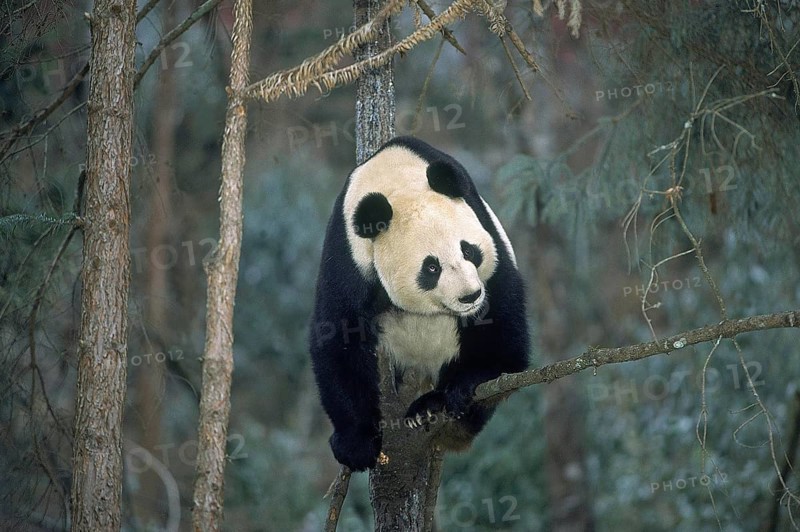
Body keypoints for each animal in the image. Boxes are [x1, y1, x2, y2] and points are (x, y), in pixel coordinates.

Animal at [309, 136, 529, 471]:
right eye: (432, 267)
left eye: (469, 250)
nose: (470, 296)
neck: (396, 182)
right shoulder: (348, 252)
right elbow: (338, 332)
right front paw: (356, 443)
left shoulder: (481, 223)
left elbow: (501, 315)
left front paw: (468, 384)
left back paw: (431, 404)